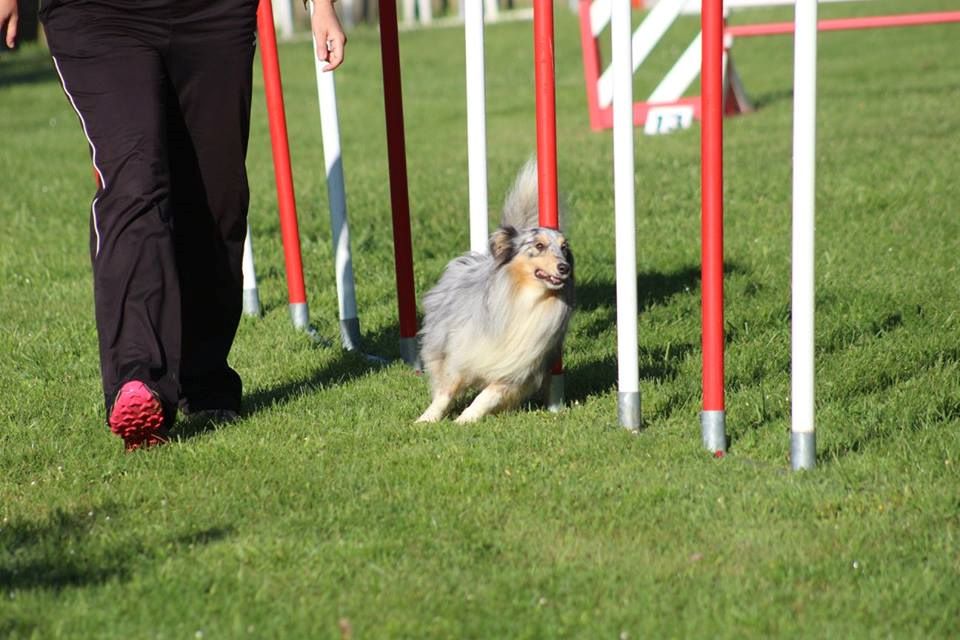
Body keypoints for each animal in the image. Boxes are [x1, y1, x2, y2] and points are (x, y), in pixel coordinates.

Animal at [416, 160, 572, 422]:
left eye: (563, 249)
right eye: (539, 246)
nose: (565, 268)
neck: (524, 297)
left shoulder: (517, 366)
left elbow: (487, 395)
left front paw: (465, 419)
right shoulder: (461, 349)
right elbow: (446, 389)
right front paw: (426, 420)